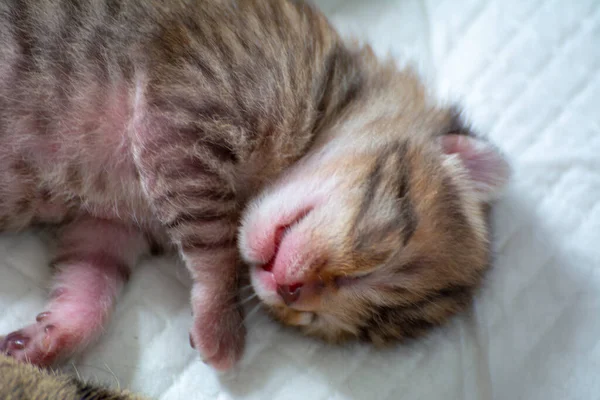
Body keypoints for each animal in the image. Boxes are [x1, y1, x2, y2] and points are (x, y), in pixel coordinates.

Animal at [0, 0, 508, 370]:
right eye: (375, 263)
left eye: (316, 321)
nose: (291, 293)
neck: (327, 103)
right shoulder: (184, 114)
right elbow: (217, 245)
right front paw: (222, 323)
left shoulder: (111, 223)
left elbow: (93, 277)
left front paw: (54, 335)